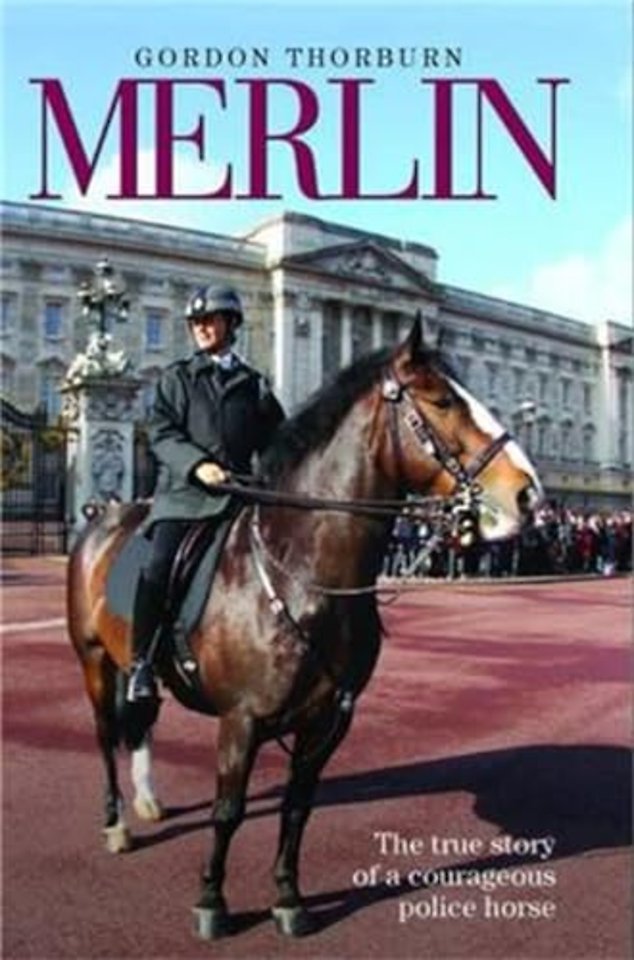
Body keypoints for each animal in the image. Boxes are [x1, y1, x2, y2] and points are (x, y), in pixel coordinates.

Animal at [66, 315, 541, 938]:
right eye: (441, 400)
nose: (528, 494)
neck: (306, 576)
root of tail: (106, 512)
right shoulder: (241, 720)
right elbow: (228, 810)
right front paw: (211, 901)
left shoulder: (327, 720)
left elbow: (297, 809)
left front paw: (289, 899)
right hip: (95, 661)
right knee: (104, 735)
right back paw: (117, 822)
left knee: (141, 718)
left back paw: (147, 801)